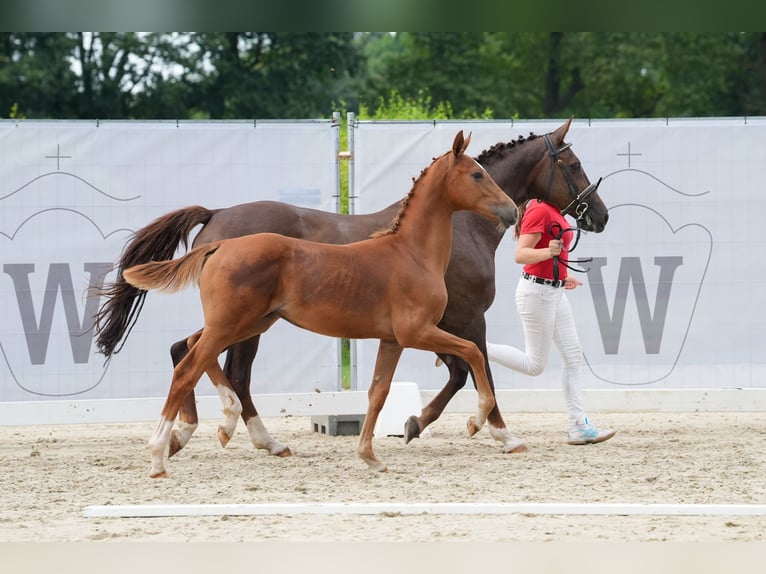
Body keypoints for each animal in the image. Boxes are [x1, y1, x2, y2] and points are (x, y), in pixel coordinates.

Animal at [96, 117, 612, 464]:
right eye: (573, 163)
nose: (601, 216)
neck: (457, 230)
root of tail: (217, 217)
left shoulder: (428, 327)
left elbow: (448, 375)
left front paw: (412, 425)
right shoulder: (464, 319)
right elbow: (473, 369)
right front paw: (493, 432)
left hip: (252, 320)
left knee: (191, 352)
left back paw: (204, 436)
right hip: (245, 322)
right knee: (221, 367)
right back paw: (238, 436)